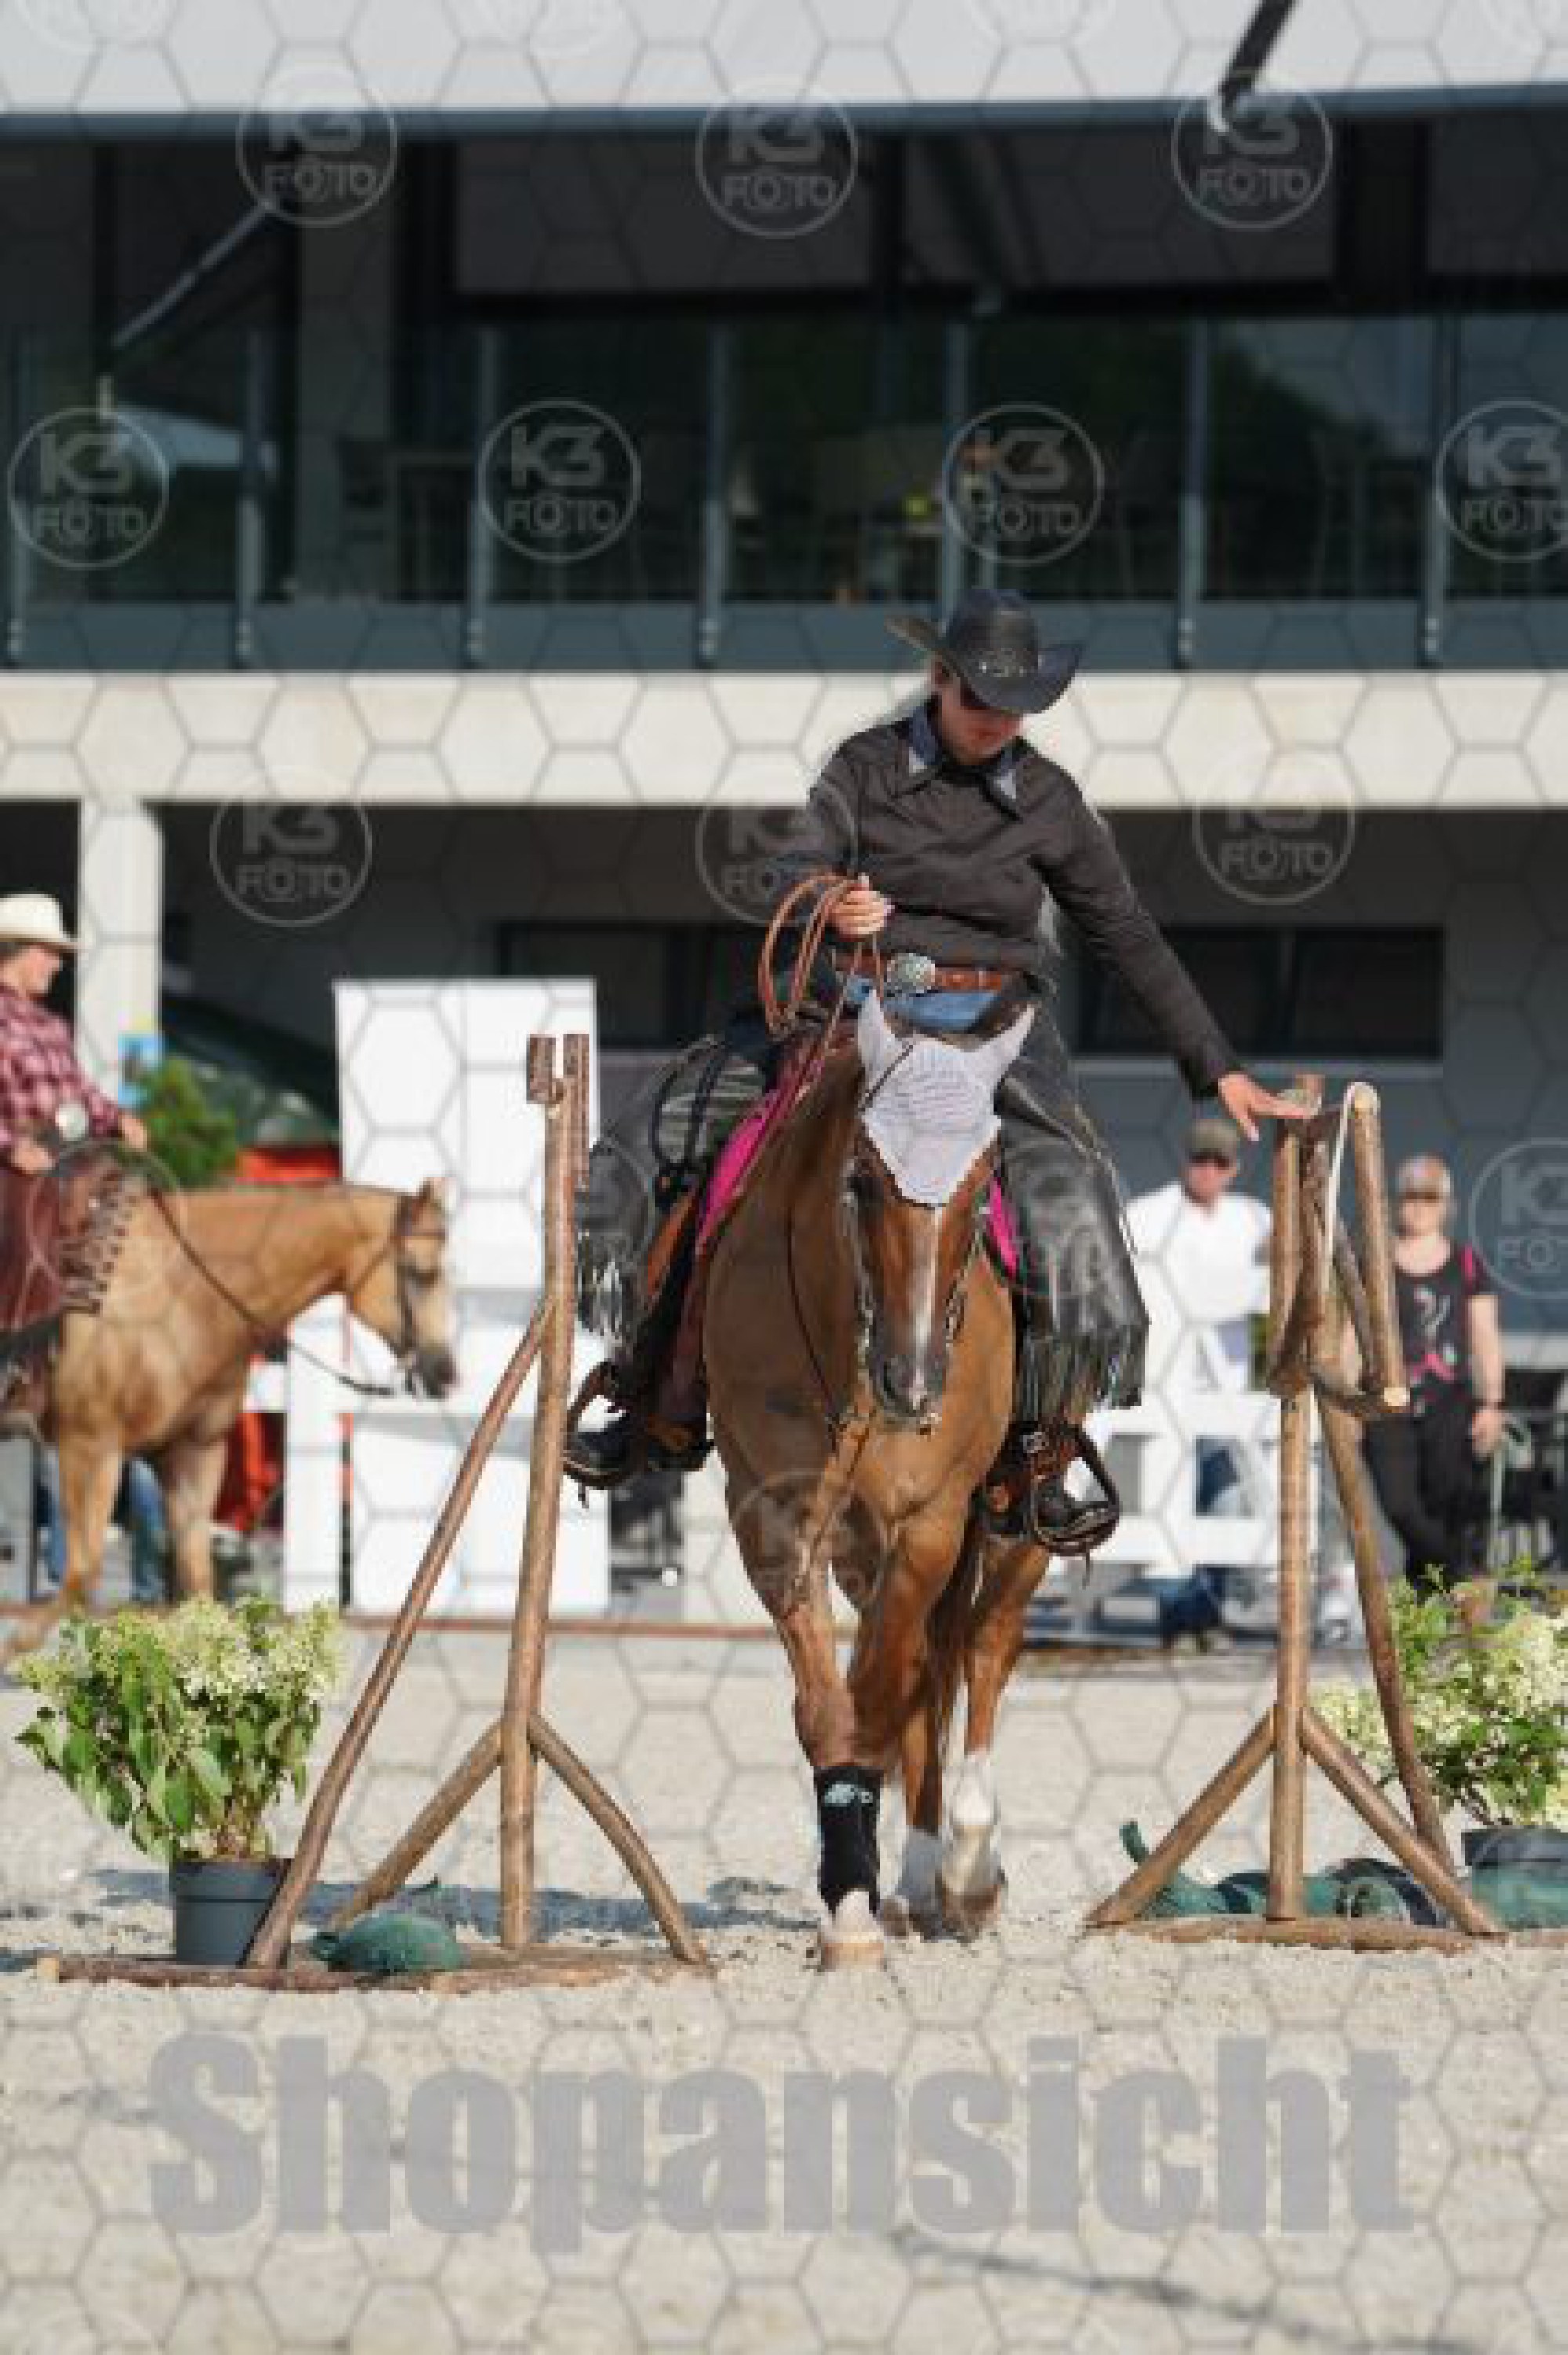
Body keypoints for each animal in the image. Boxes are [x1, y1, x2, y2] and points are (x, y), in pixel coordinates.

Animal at [2, 1178, 457, 1662]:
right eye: (422, 1273)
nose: (445, 1371)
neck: (183, 1295)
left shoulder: (191, 1453)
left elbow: (199, 1580)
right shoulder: (90, 1447)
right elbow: (83, 1573)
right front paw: (14, 1647)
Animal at [703, 986, 1060, 1968]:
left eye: (982, 1191)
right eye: (859, 1180)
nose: (915, 1379)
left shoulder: (930, 1519)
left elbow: (887, 1687)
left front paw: (905, 1880)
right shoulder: (775, 1517)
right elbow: (835, 1706)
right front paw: (852, 1900)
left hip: (1014, 1520)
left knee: (982, 1646)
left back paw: (965, 1868)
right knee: (923, 1667)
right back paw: (915, 1878)